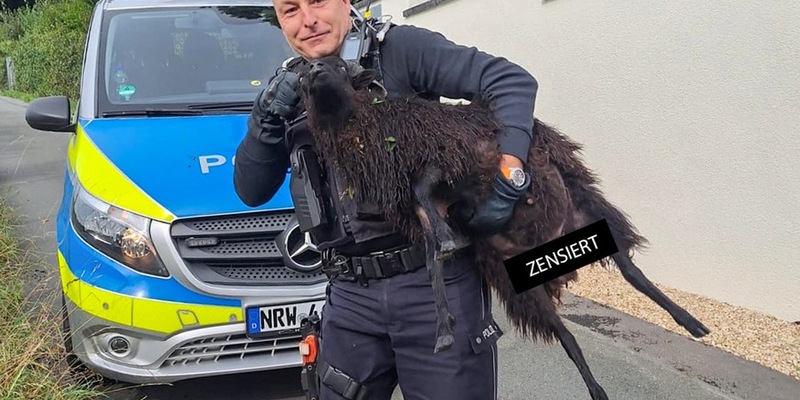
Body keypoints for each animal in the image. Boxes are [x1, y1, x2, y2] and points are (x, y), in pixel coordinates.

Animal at [295, 55, 710, 400]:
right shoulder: (425, 209)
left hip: (587, 203)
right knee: (569, 338)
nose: (314, 69)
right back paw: (597, 391)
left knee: (631, 271)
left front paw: (450, 244)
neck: (374, 127)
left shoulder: (449, 156)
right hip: (523, 290)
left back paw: (692, 324)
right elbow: (431, 263)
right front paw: (444, 328)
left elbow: (424, 193)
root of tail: (556, 251)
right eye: (302, 76)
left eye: (341, 66)